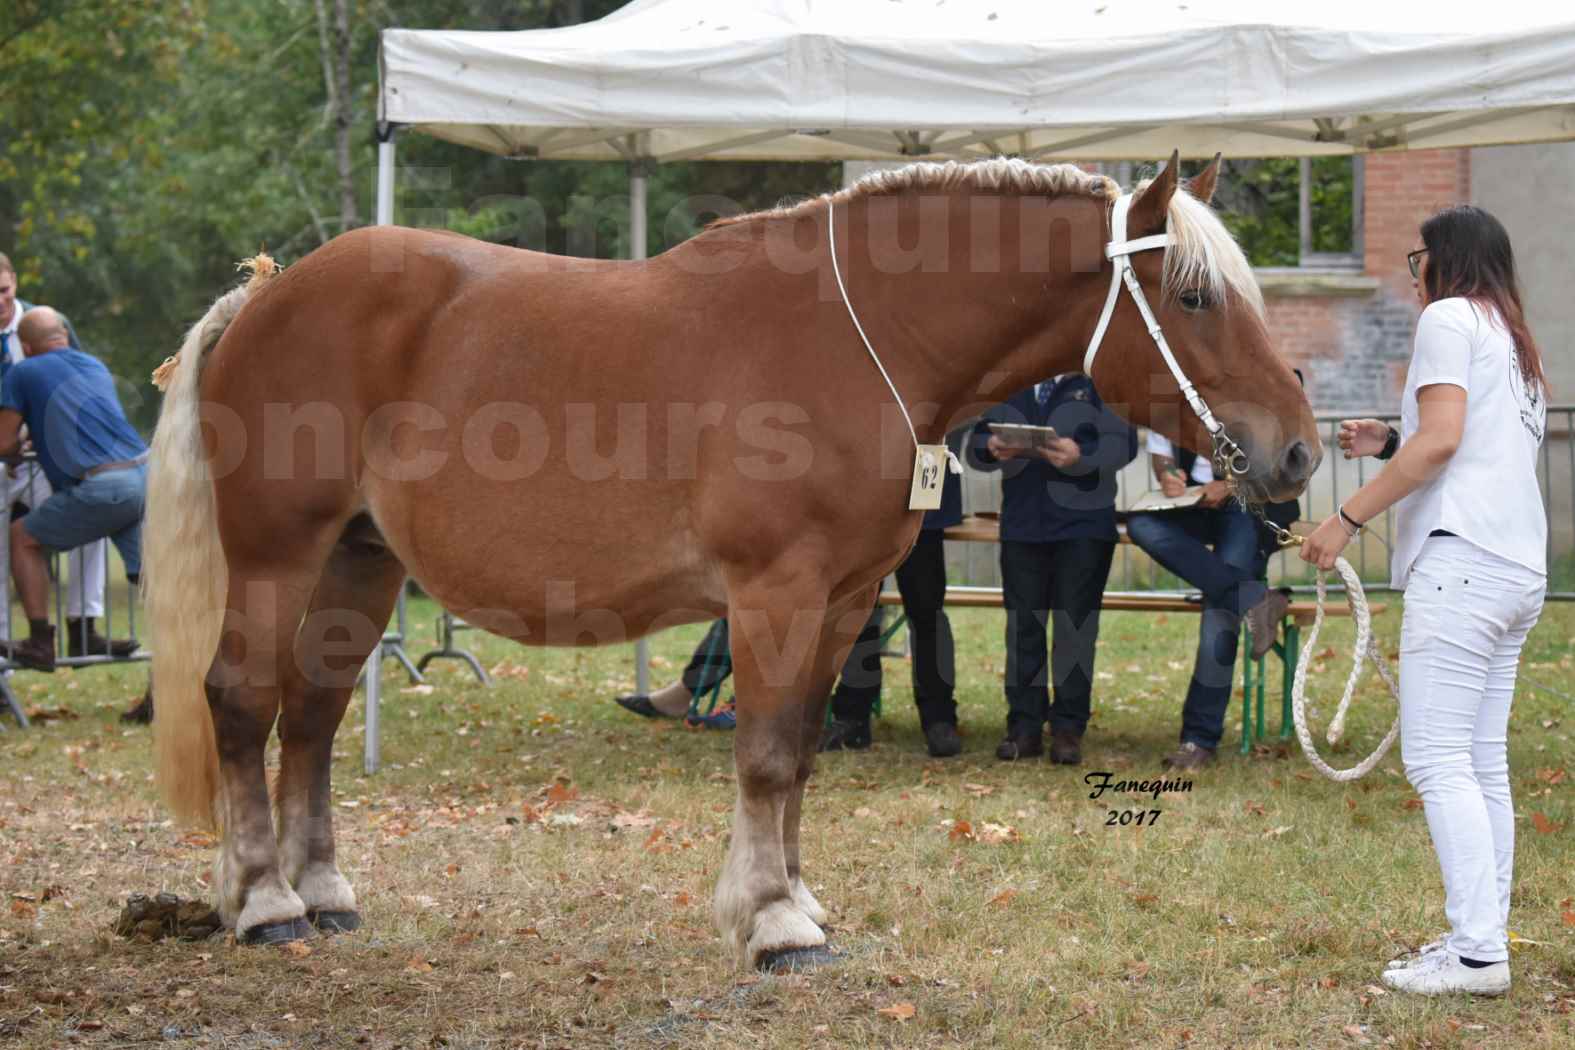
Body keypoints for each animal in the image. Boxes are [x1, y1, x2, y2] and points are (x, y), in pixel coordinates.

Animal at [148, 154, 1323, 969]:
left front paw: (798, 903)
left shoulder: (847, 601)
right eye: (1195, 297)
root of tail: (266, 295)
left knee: (312, 718)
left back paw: (324, 892)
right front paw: (769, 925)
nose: (1298, 454)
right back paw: (264, 904)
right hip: (277, 554)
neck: (859, 338)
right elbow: (760, 758)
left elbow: (800, 752)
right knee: (242, 702)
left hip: (360, 564)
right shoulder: (774, 593)